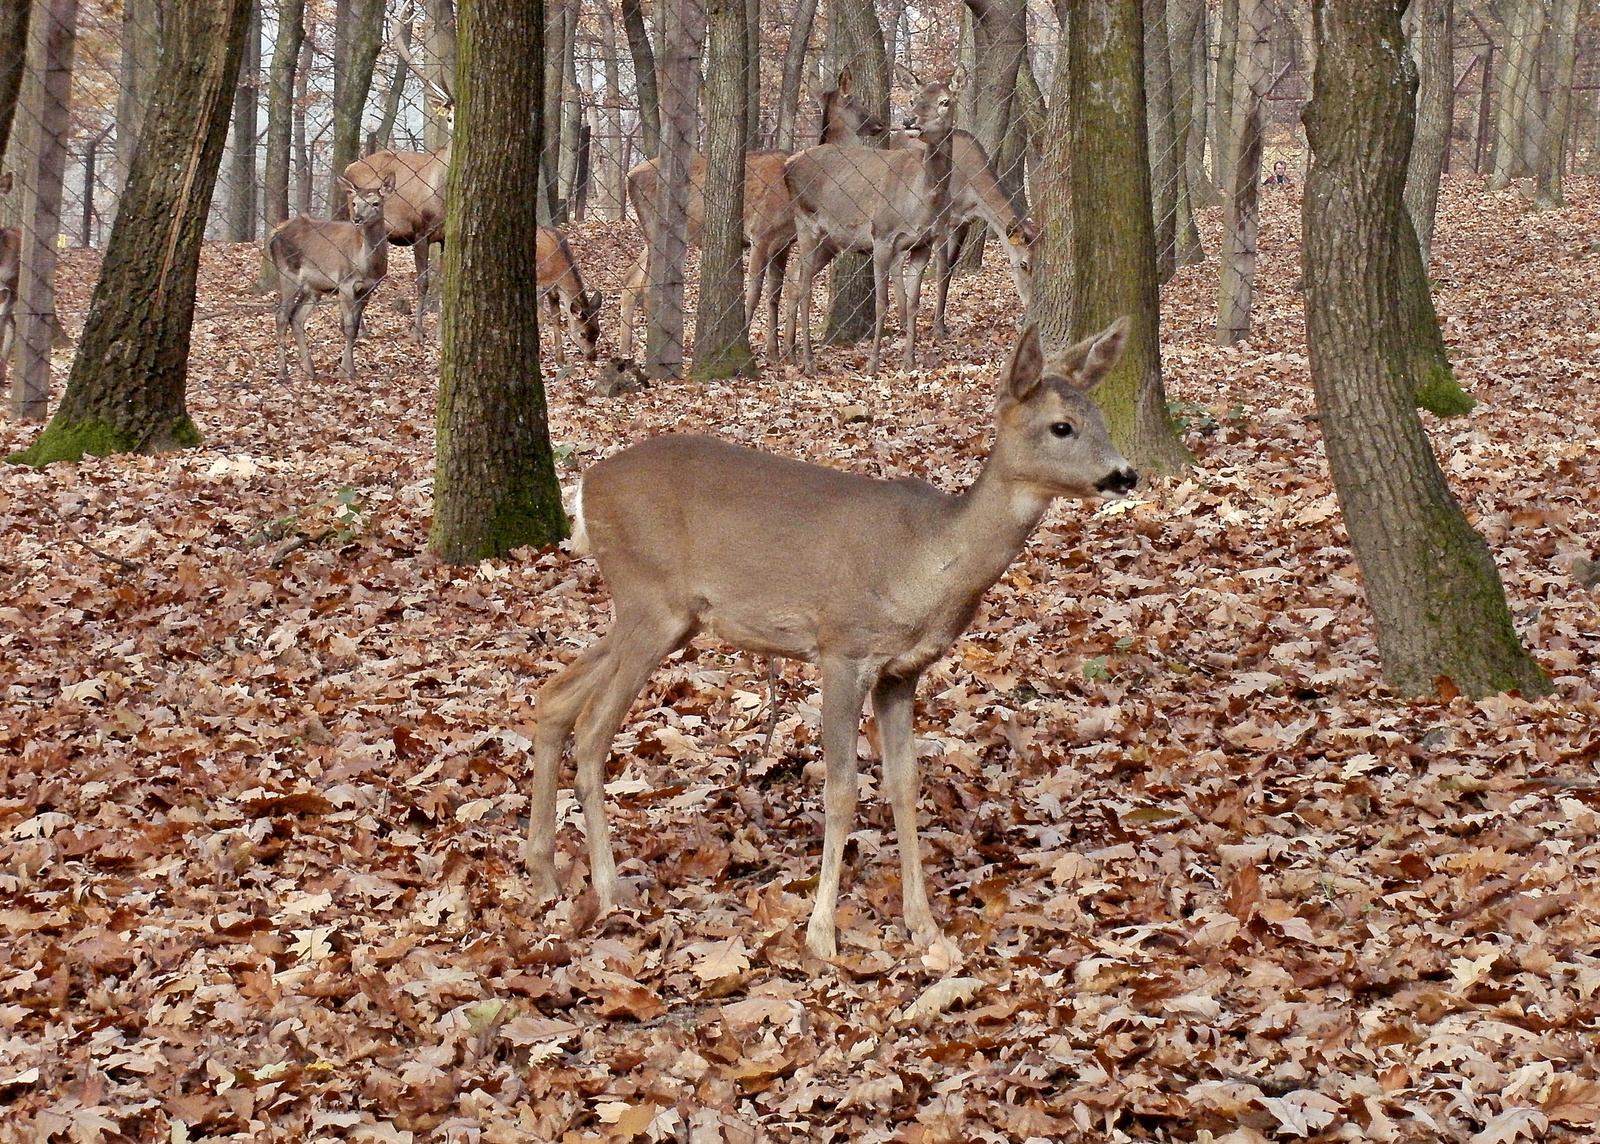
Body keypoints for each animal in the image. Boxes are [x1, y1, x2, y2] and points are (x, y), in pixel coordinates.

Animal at [267, 174, 395, 380]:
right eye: (354, 202)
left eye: (376, 203)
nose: (357, 218)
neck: (366, 265)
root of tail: (274, 233)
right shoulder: (344, 283)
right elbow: (348, 327)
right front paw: (347, 372)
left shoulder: (369, 288)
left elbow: (356, 326)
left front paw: (349, 369)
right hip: (287, 273)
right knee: (281, 315)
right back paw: (282, 372)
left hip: (312, 287)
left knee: (296, 317)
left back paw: (309, 370)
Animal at [524, 321, 1139, 966]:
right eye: (1061, 426)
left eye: (1099, 416)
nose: (1125, 474)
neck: (927, 561)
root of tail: (585, 486)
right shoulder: (842, 649)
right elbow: (842, 789)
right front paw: (821, 932)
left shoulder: (901, 672)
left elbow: (904, 784)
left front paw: (924, 927)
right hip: (649, 601)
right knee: (594, 728)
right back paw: (608, 887)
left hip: (664, 617)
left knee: (555, 695)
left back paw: (544, 874)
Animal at [544, 224, 604, 363]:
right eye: (582, 333)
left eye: (598, 333)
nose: (592, 356)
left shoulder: (553, 292)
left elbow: (556, 320)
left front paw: (560, 361)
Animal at [784, 81, 953, 376]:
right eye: (914, 99)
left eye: (945, 101)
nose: (910, 120)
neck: (920, 200)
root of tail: (787, 165)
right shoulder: (882, 236)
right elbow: (881, 302)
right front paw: (873, 364)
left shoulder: (923, 243)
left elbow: (913, 302)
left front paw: (910, 361)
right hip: (806, 224)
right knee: (804, 287)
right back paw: (809, 361)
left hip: (830, 241)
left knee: (794, 277)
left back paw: (790, 354)